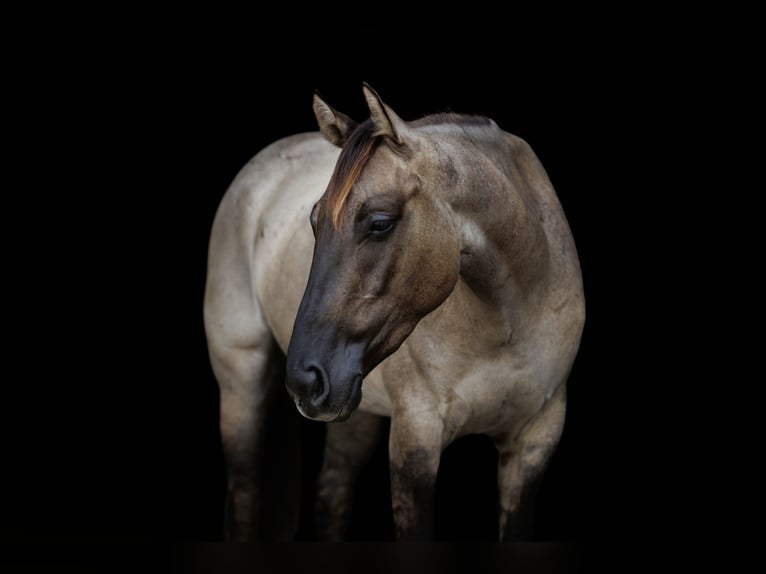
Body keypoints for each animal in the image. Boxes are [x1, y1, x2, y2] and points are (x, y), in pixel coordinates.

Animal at [203, 84, 585, 541]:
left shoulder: (533, 443)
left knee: (331, 492)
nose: (303, 380)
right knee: (245, 495)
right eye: (314, 221)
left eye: (380, 222)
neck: (506, 324)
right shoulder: (415, 440)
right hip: (241, 384)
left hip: (353, 407)